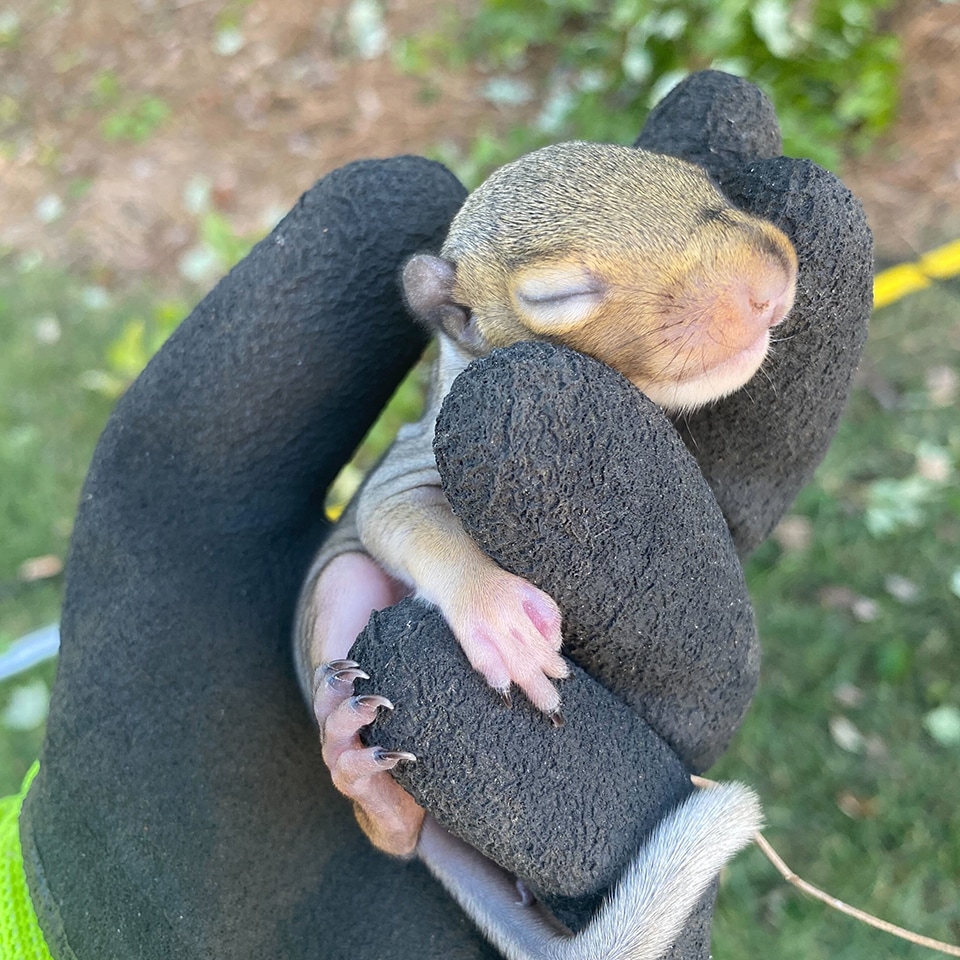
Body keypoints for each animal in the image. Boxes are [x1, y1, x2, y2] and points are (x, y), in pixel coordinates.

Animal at [294, 141, 795, 959]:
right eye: (559, 295)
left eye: (701, 181)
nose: (768, 283)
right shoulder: (407, 463)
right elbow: (402, 519)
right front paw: (502, 620)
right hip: (338, 599)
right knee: (392, 832)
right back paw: (356, 767)